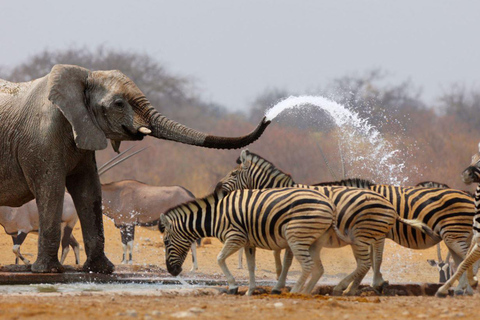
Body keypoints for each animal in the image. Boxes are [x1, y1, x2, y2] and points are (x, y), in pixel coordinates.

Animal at [0, 63, 270, 274]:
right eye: (119, 103)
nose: (267, 117)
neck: (83, 76)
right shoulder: (43, 140)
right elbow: (56, 191)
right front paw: (49, 270)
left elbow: (88, 192)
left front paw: (101, 269)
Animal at [158, 185, 338, 296]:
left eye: (166, 243)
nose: (172, 272)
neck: (216, 216)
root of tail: (329, 203)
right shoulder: (248, 243)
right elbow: (251, 267)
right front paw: (250, 291)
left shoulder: (235, 237)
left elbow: (220, 259)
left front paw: (233, 286)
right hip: (313, 241)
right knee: (318, 268)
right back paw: (304, 292)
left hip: (296, 236)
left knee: (307, 265)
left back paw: (294, 292)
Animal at [222, 149, 476, 292]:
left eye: (233, 174)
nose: (218, 189)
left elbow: (286, 260)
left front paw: (278, 286)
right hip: (453, 236)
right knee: (462, 259)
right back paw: (461, 288)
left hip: (453, 234)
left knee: (466, 258)